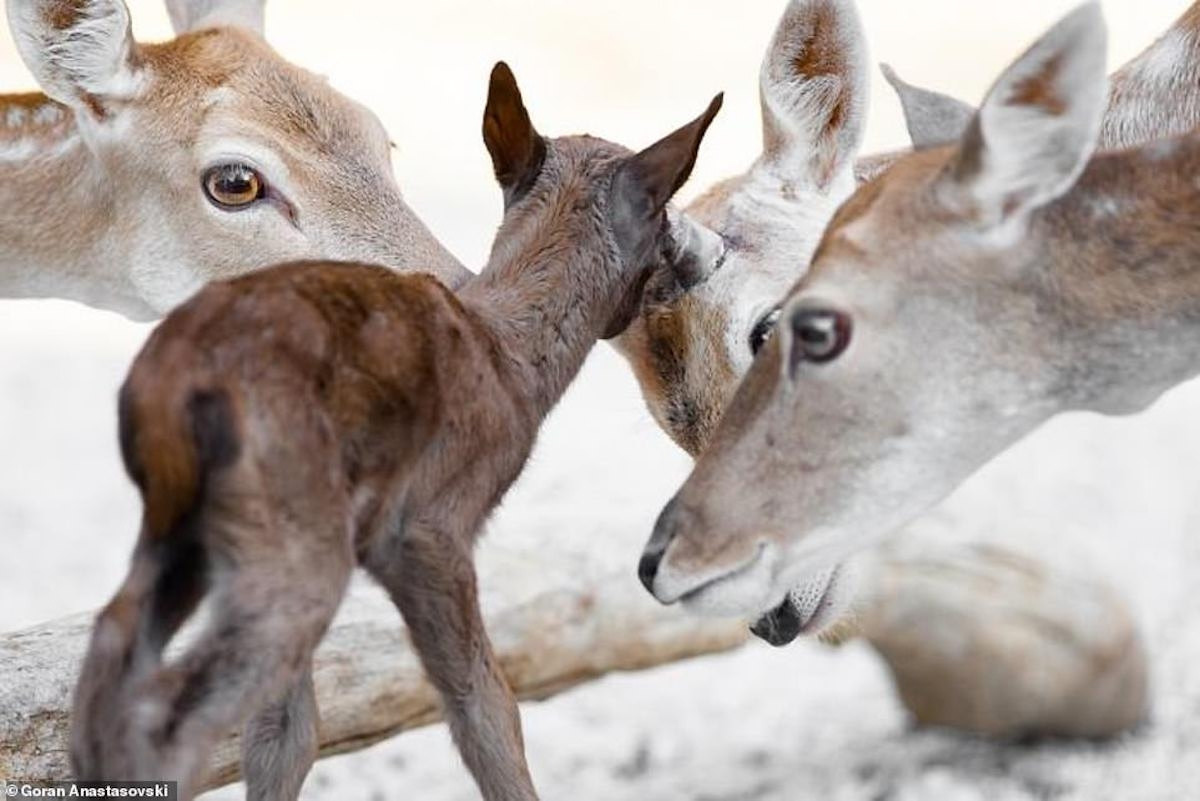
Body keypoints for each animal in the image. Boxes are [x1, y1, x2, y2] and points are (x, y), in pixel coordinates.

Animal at [65, 62, 715, 801]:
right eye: (664, 224)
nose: (691, 267)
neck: (511, 358)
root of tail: (169, 386)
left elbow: (286, 731)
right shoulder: (427, 529)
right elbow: (486, 708)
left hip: (195, 531)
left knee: (114, 651)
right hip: (294, 541)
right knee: (174, 706)